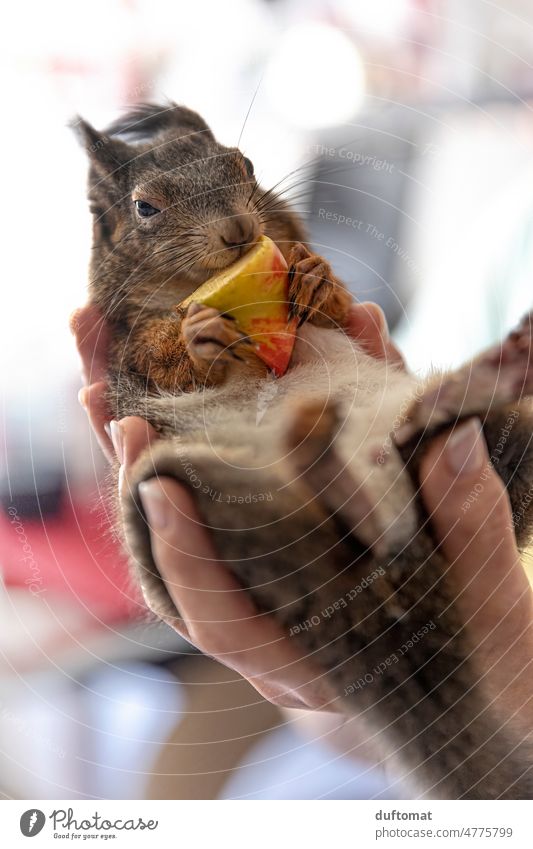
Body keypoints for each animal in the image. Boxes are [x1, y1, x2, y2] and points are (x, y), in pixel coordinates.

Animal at [74, 102, 532, 800]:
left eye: (245, 165)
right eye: (145, 207)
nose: (239, 230)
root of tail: (396, 568)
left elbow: (332, 304)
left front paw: (316, 277)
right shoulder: (130, 359)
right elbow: (160, 357)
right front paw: (193, 335)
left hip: (503, 445)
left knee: (432, 445)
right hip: (193, 494)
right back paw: (321, 456)